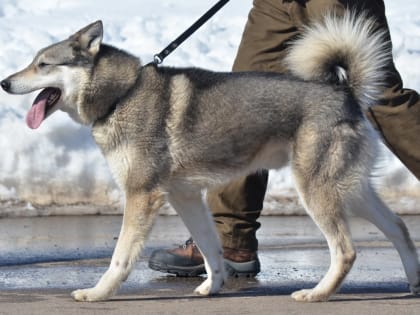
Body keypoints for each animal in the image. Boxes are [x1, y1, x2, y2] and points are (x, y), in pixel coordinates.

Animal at [0, 11, 420, 304]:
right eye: (33, 61)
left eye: (43, 64)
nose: (4, 82)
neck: (122, 94)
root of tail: (346, 92)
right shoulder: (184, 196)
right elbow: (209, 248)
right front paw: (212, 286)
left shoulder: (142, 195)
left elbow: (120, 258)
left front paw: (98, 293)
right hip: (351, 190)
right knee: (399, 227)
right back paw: (414, 282)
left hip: (318, 191)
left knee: (346, 251)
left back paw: (318, 293)